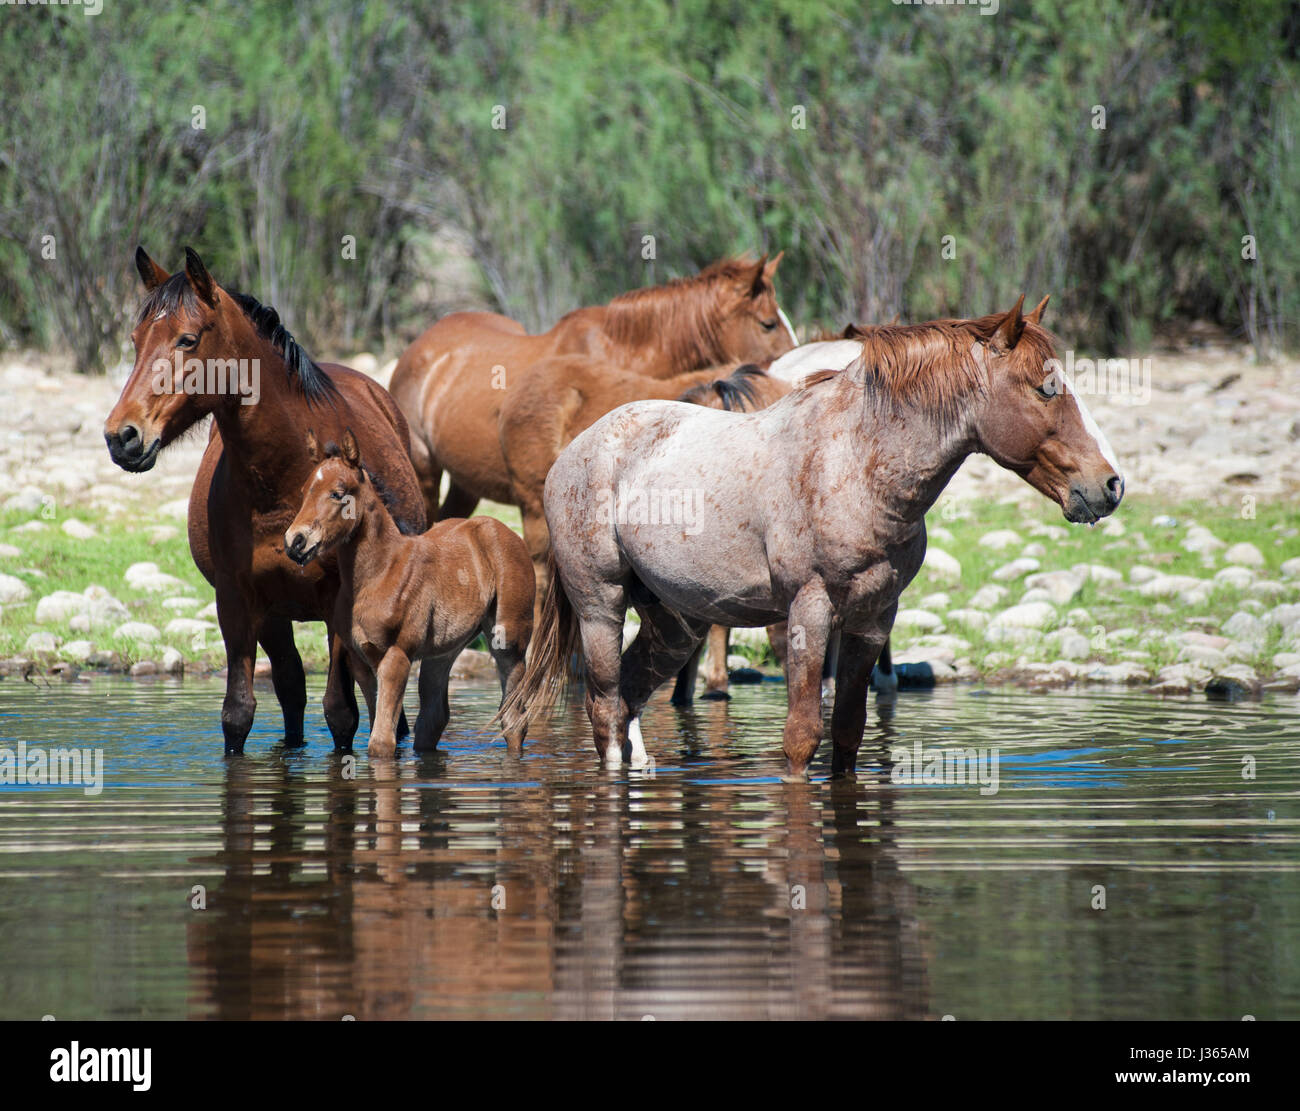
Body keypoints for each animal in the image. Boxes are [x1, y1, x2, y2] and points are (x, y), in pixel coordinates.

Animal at [105, 248, 426, 753]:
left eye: (187, 339)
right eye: (135, 341)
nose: (122, 436)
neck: (285, 480)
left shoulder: (340, 606)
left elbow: (341, 715)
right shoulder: (236, 602)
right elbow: (238, 714)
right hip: (275, 618)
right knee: (292, 691)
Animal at [284, 431, 533, 758]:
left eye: (338, 493)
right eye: (303, 491)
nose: (295, 542)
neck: (379, 574)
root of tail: (503, 530)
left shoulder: (396, 656)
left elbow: (381, 743)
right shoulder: (362, 662)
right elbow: (382, 730)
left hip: (509, 643)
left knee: (513, 719)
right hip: (443, 651)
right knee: (433, 719)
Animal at [501, 300, 1123, 779]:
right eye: (1046, 389)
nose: (1110, 485)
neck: (854, 464)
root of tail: (577, 449)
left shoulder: (874, 619)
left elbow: (847, 733)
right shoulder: (809, 610)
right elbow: (801, 737)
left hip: (676, 623)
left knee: (630, 697)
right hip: (601, 607)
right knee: (605, 710)